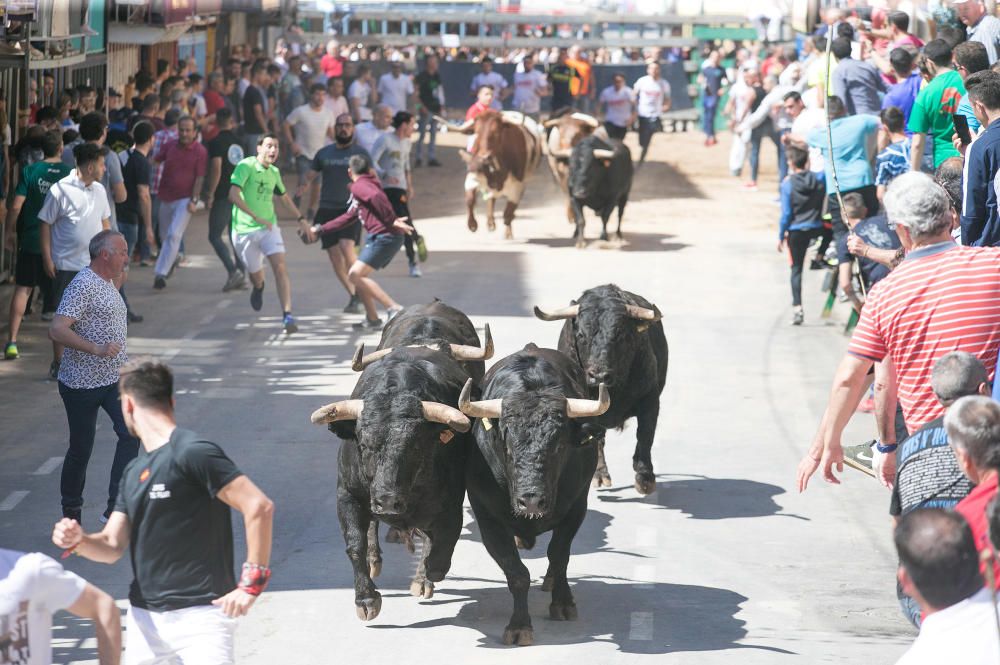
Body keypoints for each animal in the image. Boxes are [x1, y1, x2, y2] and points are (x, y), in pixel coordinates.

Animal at [308, 348, 472, 624]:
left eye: (416, 447)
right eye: (363, 444)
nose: (387, 501)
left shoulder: (451, 507)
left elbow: (439, 554)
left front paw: (424, 577)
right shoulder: (347, 497)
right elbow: (355, 544)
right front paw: (366, 600)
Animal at [456, 344, 608, 644]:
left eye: (559, 446)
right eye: (507, 445)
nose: (531, 501)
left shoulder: (576, 508)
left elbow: (559, 555)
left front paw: (563, 604)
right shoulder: (487, 518)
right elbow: (517, 573)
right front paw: (519, 626)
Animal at [458, 110, 540, 240]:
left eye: (496, 132)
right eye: (476, 132)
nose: (483, 157)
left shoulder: (518, 185)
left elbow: (508, 211)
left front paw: (508, 227)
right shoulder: (472, 178)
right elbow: (470, 199)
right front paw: (472, 224)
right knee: (491, 199)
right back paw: (491, 223)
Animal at [536, 282, 668, 496]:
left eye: (621, 334)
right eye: (581, 335)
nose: (598, 376)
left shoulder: (650, 400)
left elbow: (645, 435)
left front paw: (645, 478)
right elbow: (595, 440)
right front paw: (598, 475)